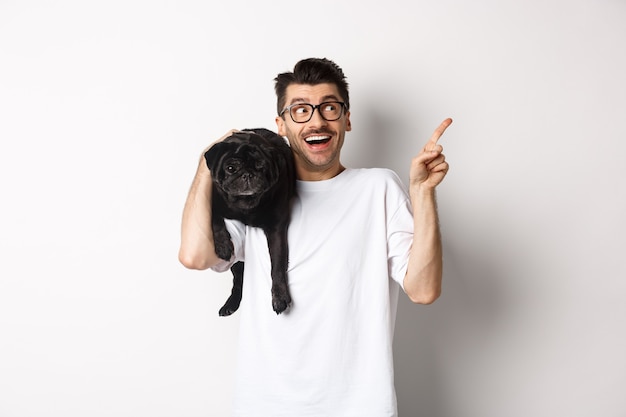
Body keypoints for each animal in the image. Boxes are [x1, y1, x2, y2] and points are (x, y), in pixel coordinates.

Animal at [202, 128, 294, 314]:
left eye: (261, 166)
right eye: (231, 168)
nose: (247, 174)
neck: (246, 205)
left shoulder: (276, 230)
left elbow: (277, 266)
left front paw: (279, 296)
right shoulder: (213, 201)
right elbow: (215, 220)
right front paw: (222, 245)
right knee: (238, 280)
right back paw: (230, 304)